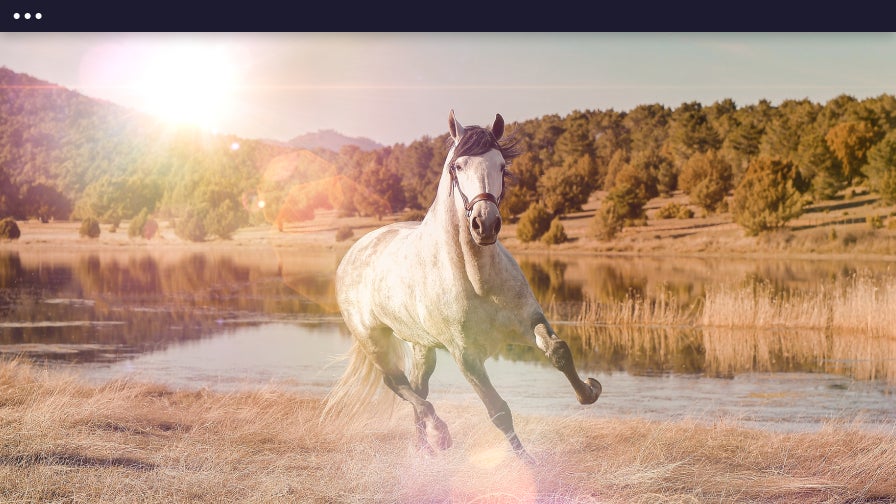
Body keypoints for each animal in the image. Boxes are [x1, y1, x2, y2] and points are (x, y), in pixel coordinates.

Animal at [323, 110, 602, 463]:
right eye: (457, 166)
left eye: (501, 165)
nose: (485, 224)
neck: (476, 279)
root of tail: (355, 250)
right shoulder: (465, 355)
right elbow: (498, 411)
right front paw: (529, 465)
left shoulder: (528, 322)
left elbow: (560, 351)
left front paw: (589, 390)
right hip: (374, 341)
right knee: (396, 382)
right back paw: (439, 434)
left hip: (422, 346)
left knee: (417, 387)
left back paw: (425, 449)